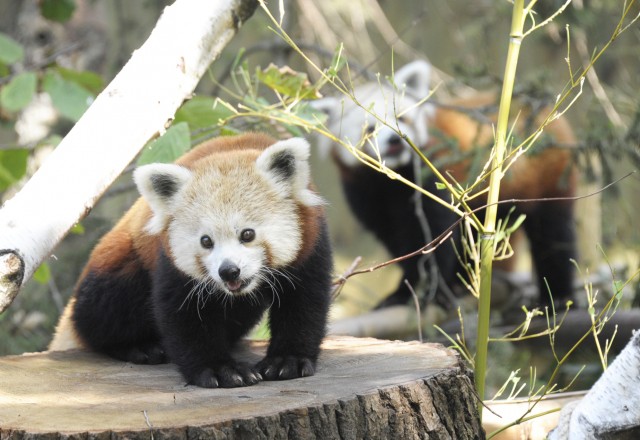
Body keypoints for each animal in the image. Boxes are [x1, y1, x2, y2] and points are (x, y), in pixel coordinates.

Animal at [49, 133, 333, 388]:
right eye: (206, 241)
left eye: (247, 234)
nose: (228, 271)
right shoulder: (169, 257)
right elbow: (184, 317)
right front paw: (219, 370)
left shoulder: (311, 243)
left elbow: (305, 303)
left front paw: (287, 360)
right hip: (119, 268)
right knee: (102, 312)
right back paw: (140, 347)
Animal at [314, 60, 576, 310]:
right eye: (370, 128)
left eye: (402, 118)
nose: (395, 139)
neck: (391, 179)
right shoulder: (366, 195)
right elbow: (397, 243)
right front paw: (403, 291)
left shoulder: (433, 176)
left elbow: (432, 236)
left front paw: (430, 291)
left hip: (548, 178)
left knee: (553, 236)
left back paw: (557, 296)